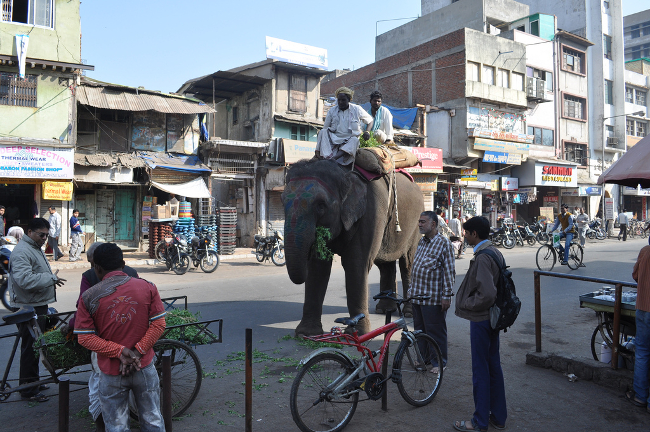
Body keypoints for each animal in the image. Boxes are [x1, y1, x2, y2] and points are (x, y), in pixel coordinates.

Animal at [280, 159, 422, 338]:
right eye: (282, 201)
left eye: (321, 205)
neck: (343, 171)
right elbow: (318, 268)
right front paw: (306, 334)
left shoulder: (370, 212)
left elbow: (355, 264)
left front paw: (358, 333)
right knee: (385, 264)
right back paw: (384, 310)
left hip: (416, 226)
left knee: (408, 263)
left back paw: (408, 313)